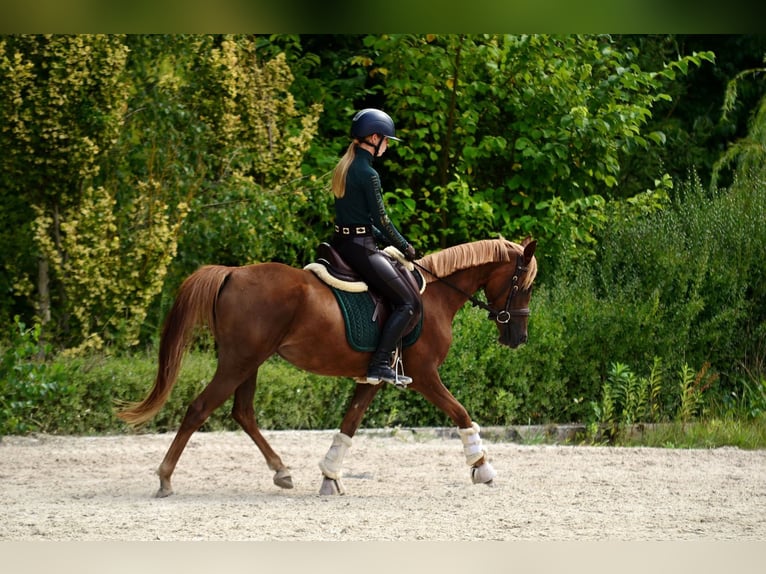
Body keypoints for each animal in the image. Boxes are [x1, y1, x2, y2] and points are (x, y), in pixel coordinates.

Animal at [117, 236, 537, 497]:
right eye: (525, 284)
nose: (518, 336)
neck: (434, 297)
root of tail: (233, 272)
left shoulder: (374, 377)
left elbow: (349, 423)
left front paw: (329, 477)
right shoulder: (425, 375)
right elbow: (460, 412)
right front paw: (482, 466)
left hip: (249, 362)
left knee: (243, 413)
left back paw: (281, 471)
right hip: (239, 361)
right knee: (199, 409)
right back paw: (165, 478)